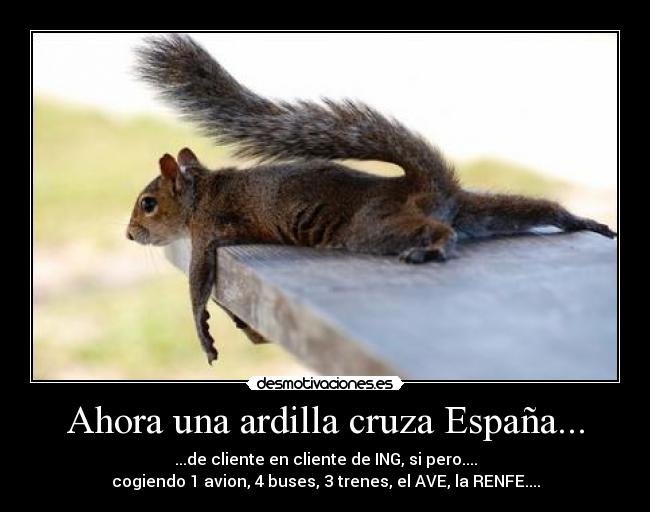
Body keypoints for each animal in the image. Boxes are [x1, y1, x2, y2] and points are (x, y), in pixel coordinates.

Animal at [126, 35, 617, 364]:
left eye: (148, 203)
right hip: (479, 209)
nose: (130, 235)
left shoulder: (207, 230)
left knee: (441, 229)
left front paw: (204, 335)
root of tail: (422, 186)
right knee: (528, 209)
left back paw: (433, 248)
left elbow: (197, 285)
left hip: (373, 226)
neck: (202, 190)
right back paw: (581, 221)